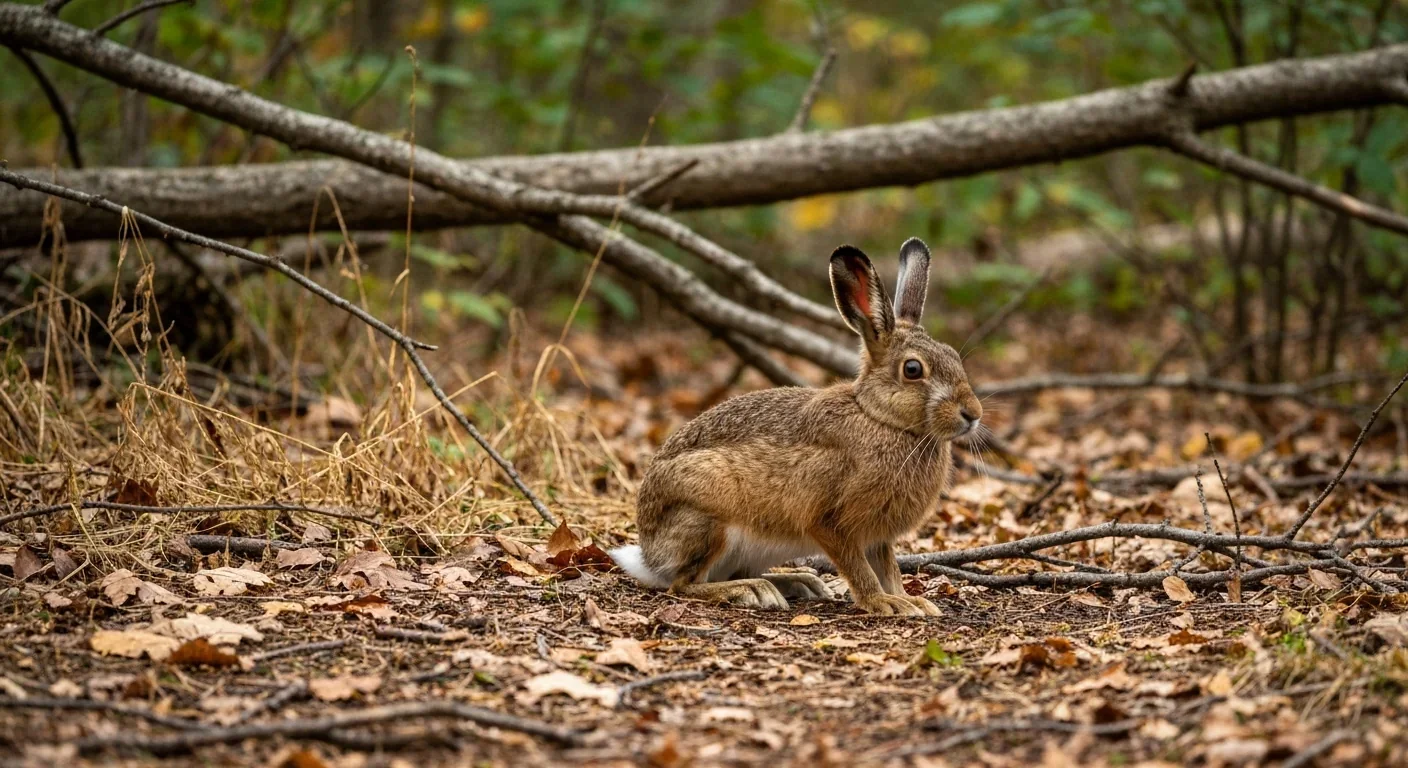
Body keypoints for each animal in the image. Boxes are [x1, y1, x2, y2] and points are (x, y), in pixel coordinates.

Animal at [609, 238, 982, 616]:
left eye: (953, 356)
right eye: (912, 370)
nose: (973, 413)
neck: (879, 417)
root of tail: (650, 555)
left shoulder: (878, 537)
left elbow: (887, 567)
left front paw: (912, 601)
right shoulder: (830, 522)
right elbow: (859, 568)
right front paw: (884, 602)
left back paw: (798, 582)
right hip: (709, 521)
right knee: (683, 585)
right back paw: (754, 591)